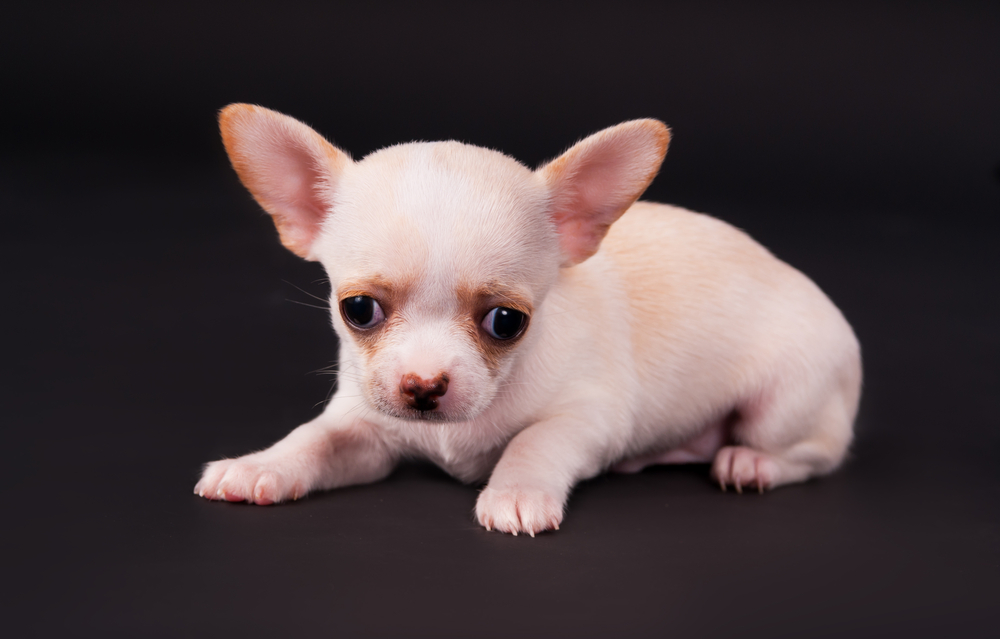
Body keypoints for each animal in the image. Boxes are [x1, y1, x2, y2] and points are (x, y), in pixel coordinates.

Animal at [195, 104, 860, 536]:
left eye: (506, 323)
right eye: (358, 310)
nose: (423, 387)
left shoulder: (587, 418)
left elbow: (533, 440)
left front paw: (514, 492)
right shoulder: (363, 430)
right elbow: (313, 439)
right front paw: (260, 466)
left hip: (785, 403)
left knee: (815, 453)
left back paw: (751, 463)